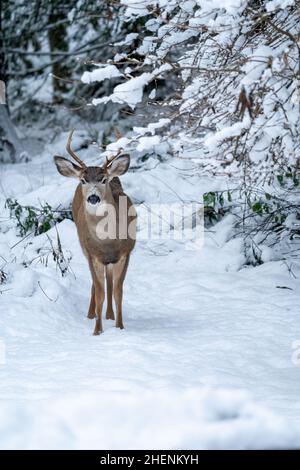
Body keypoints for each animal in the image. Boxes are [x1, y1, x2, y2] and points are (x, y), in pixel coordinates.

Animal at [54, 129, 137, 334]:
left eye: (103, 179)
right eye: (84, 180)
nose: (93, 197)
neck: (108, 242)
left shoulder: (126, 253)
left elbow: (117, 291)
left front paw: (119, 327)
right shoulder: (93, 254)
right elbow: (100, 292)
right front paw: (97, 331)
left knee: (109, 281)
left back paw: (110, 315)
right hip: (85, 249)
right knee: (97, 284)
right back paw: (92, 314)